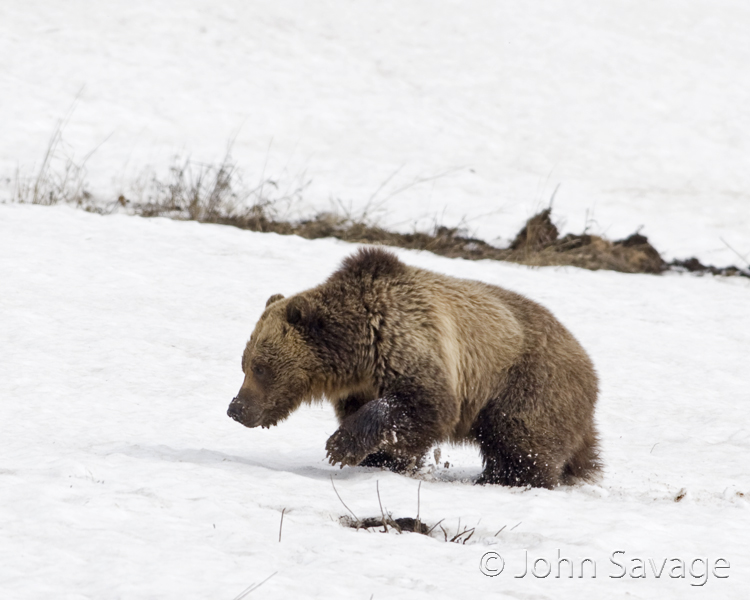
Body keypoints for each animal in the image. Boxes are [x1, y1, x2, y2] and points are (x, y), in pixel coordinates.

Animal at [226, 247, 604, 488]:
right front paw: (380, 461)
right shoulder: (362, 384)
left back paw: (510, 479)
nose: (236, 408)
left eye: (260, 367)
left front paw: (340, 446)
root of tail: (588, 362)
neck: (358, 355)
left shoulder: (412, 343)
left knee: (522, 440)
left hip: (526, 381)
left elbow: (422, 405)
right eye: (244, 363)